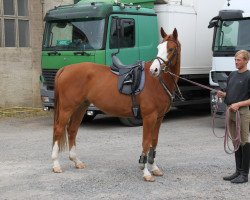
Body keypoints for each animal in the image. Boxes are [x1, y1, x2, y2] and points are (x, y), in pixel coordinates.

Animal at [51, 27, 181, 182]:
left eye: (171, 49)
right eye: (158, 48)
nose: (154, 70)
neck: (156, 82)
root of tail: (65, 68)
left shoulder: (159, 118)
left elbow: (153, 141)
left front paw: (154, 168)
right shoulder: (149, 117)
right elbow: (146, 141)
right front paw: (146, 172)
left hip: (80, 108)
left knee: (72, 130)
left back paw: (76, 161)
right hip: (67, 108)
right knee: (59, 130)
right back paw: (56, 165)